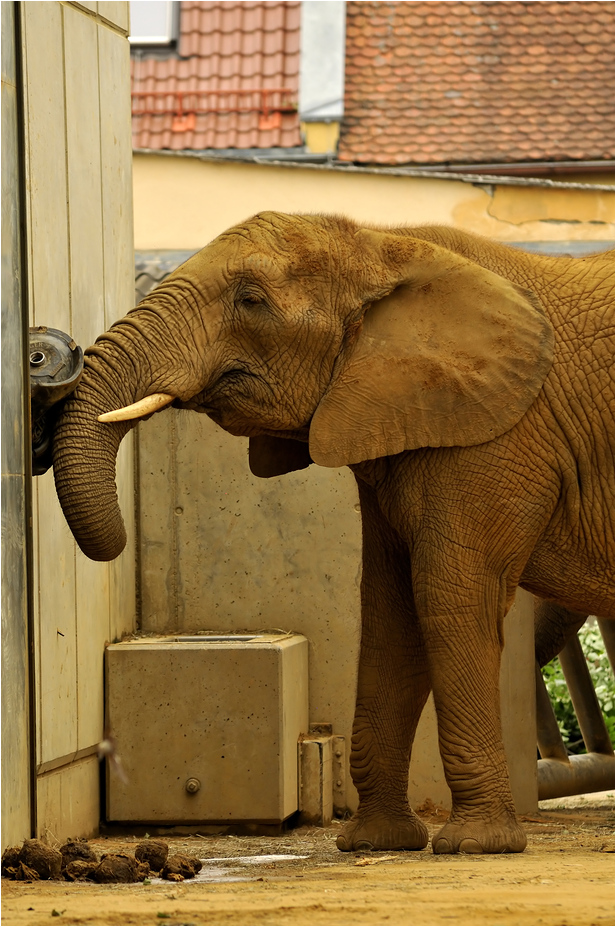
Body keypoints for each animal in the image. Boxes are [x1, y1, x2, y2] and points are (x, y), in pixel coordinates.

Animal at [52, 211, 614, 856]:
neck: (385, 243)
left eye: (251, 300)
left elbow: (449, 598)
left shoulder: (498, 436)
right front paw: (376, 842)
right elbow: (390, 610)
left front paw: (475, 846)